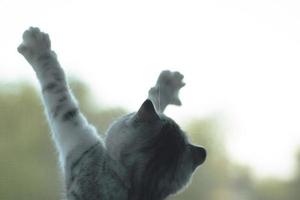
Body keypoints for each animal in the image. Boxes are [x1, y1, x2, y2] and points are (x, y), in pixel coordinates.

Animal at [17, 27, 205, 200]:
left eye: (128, 115)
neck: (139, 188)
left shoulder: (79, 141)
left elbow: (55, 83)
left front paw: (38, 46)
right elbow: (155, 100)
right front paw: (166, 86)